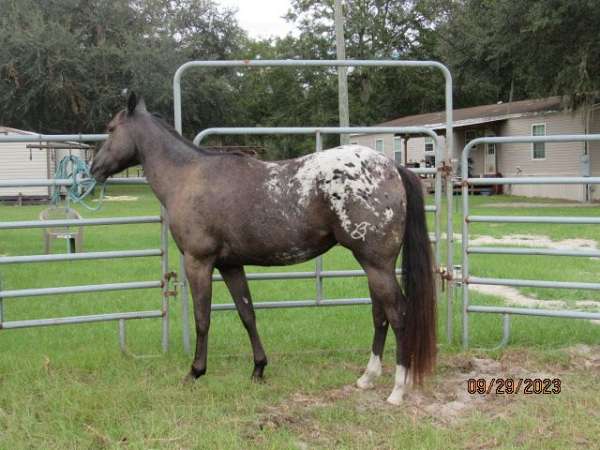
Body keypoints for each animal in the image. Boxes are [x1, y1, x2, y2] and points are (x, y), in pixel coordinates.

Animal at [90, 92, 436, 404]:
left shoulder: (198, 262)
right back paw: (367, 377)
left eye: (110, 128)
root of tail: (391, 167)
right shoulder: (230, 265)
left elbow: (203, 318)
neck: (188, 176)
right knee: (379, 315)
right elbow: (247, 314)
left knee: (398, 315)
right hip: (372, 264)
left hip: (377, 264)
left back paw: (397, 389)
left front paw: (195, 371)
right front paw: (258, 369)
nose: (93, 168)